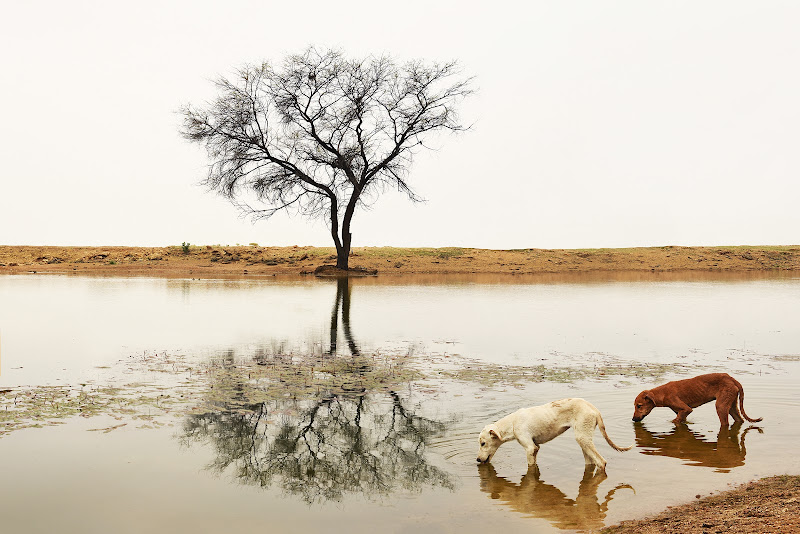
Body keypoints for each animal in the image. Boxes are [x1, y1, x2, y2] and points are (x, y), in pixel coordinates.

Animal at [476, 400, 632, 472]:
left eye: (483, 443)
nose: (477, 459)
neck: (513, 423)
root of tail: (594, 409)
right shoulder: (536, 447)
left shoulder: (530, 448)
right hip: (584, 442)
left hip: (583, 438)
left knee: (602, 462)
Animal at [632, 374, 764, 430]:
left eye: (639, 406)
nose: (633, 419)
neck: (663, 393)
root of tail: (732, 379)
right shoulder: (681, 412)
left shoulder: (686, 409)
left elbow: (674, 421)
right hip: (731, 406)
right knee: (739, 420)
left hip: (721, 406)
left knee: (725, 423)